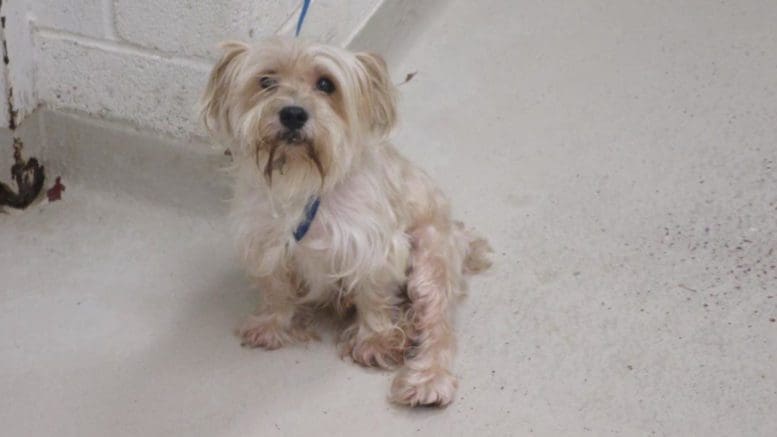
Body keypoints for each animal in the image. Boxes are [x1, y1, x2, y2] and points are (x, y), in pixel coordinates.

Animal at [200, 37, 492, 406]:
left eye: (326, 84)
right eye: (266, 81)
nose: (293, 113)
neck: (305, 183)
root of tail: (460, 239)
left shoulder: (372, 248)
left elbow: (374, 297)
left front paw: (375, 341)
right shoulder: (265, 244)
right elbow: (276, 290)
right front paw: (273, 324)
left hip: (429, 261)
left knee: (438, 328)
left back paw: (427, 378)